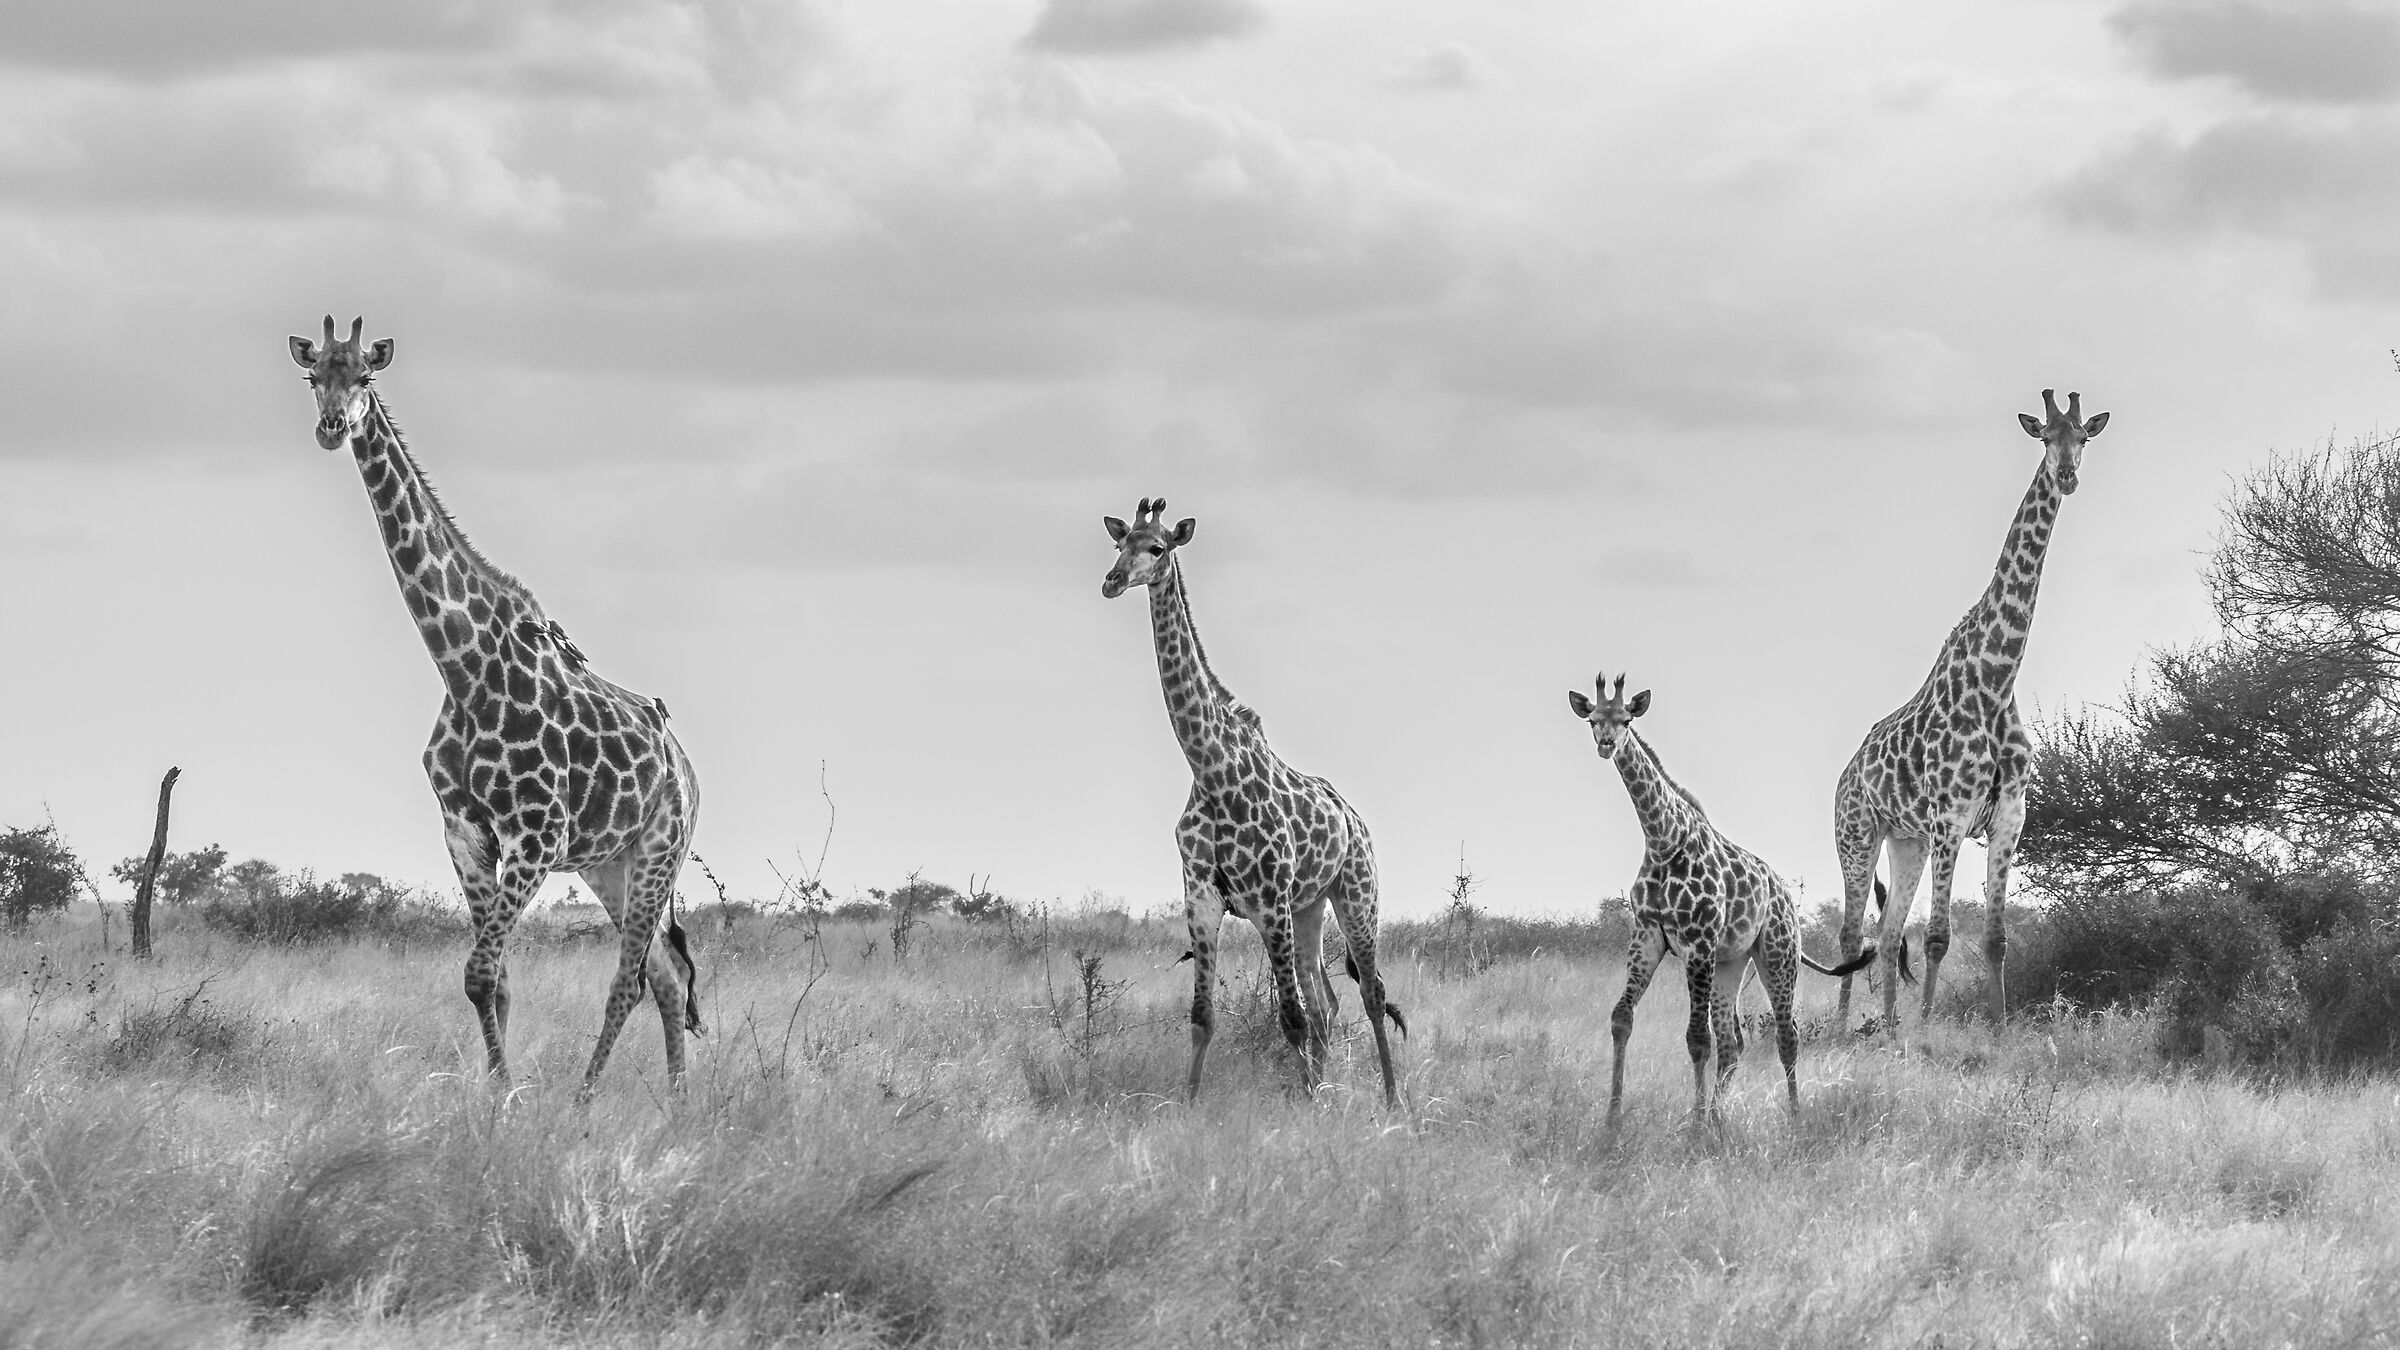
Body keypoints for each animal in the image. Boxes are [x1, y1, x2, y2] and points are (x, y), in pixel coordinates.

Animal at [288, 316, 703, 1097]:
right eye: (313, 374)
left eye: (366, 375)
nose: (331, 427)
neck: (463, 668)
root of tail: (688, 770)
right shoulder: (466, 836)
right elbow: (492, 981)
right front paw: (497, 1096)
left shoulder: (535, 838)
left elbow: (481, 973)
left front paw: (511, 1097)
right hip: (611, 863)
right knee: (665, 977)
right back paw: (677, 1103)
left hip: (660, 850)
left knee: (631, 980)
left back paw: (585, 1102)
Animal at [1101, 496, 1406, 1105]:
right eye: (1119, 544)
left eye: (1157, 547)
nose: (1112, 581)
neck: (1209, 769)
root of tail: (1354, 819)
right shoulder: (1201, 898)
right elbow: (1202, 1017)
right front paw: (1189, 1107)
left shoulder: (1268, 899)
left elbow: (1289, 1018)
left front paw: (1310, 1106)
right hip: (1309, 908)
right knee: (1327, 1005)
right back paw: (1336, 1087)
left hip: (1354, 895)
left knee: (1369, 994)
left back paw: (1390, 1100)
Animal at [1569, 673, 1875, 1122]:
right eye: (1593, 719)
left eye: (1626, 719)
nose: (1606, 744)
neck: (1663, 841)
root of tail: (1785, 896)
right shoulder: (1648, 935)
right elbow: (1622, 1019)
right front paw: (1613, 1119)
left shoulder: (1698, 942)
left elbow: (1697, 1038)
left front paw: (1693, 1125)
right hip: (1732, 963)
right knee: (1734, 1043)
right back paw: (1718, 1117)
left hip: (1776, 955)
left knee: (1786, 1035)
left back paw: (1793, 1115)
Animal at [1834, 388, 2109, 1035]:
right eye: (2045, 437)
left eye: (2083, 437)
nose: (2067, 476)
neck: (1997, 678)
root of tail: (1844, 774)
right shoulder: (1951, 817)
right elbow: (1938, 936)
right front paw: (1930, 1026)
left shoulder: (2009, 815)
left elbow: (1995, 938)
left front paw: (2000, 1026)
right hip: (1856, 835)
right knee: (1851, 935)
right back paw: (1838, 1027)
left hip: (1904, 841)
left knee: (1888, 934)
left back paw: (1887, 1028)